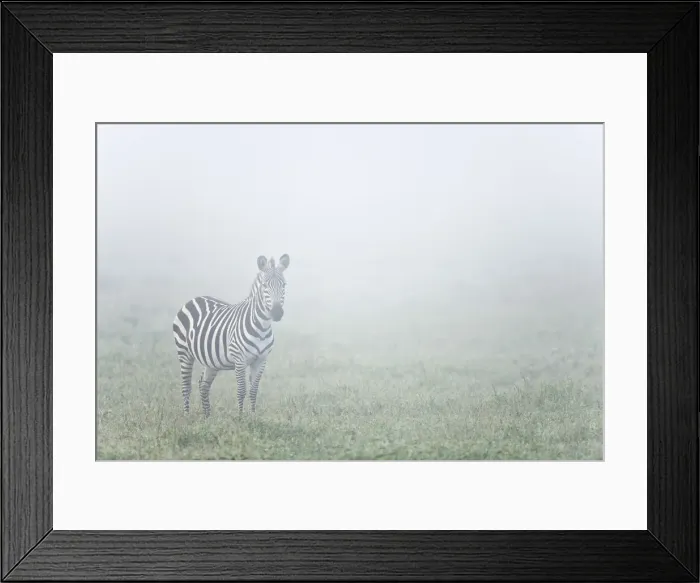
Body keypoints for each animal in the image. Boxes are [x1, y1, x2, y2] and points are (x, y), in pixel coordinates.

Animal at [172, 254, 290, 417]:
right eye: (264, 286)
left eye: (284, 285)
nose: (277, 313)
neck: (262, 327)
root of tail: (195, 298)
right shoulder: (239, 360)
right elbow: (241, 390)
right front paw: (240, 417)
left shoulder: (261, 360)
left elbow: (254, 391)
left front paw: (253, 417)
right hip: (184, 352)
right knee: (186, 386)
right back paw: (187, 415)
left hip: (211, 361)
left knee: (203, 385)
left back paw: (207, 417)